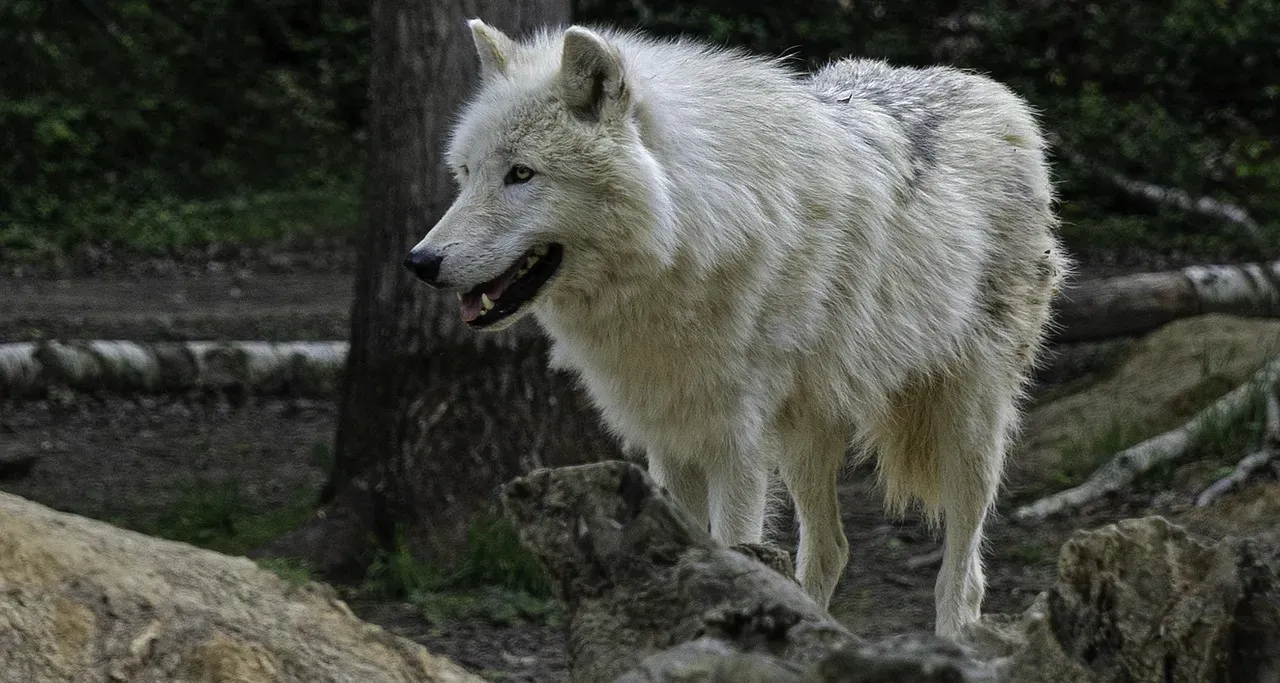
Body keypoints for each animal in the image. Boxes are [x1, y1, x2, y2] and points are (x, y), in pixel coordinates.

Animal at [404, 19, 1068, 639]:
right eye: (465, 172)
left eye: (521, 174)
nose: (420, 263)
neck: (688, 238)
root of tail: (994, 92)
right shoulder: (670, 442)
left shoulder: (735, 447)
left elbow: (731, 553)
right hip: (808, 436)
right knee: (830, 551)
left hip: (969, 427)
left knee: (963, 577)